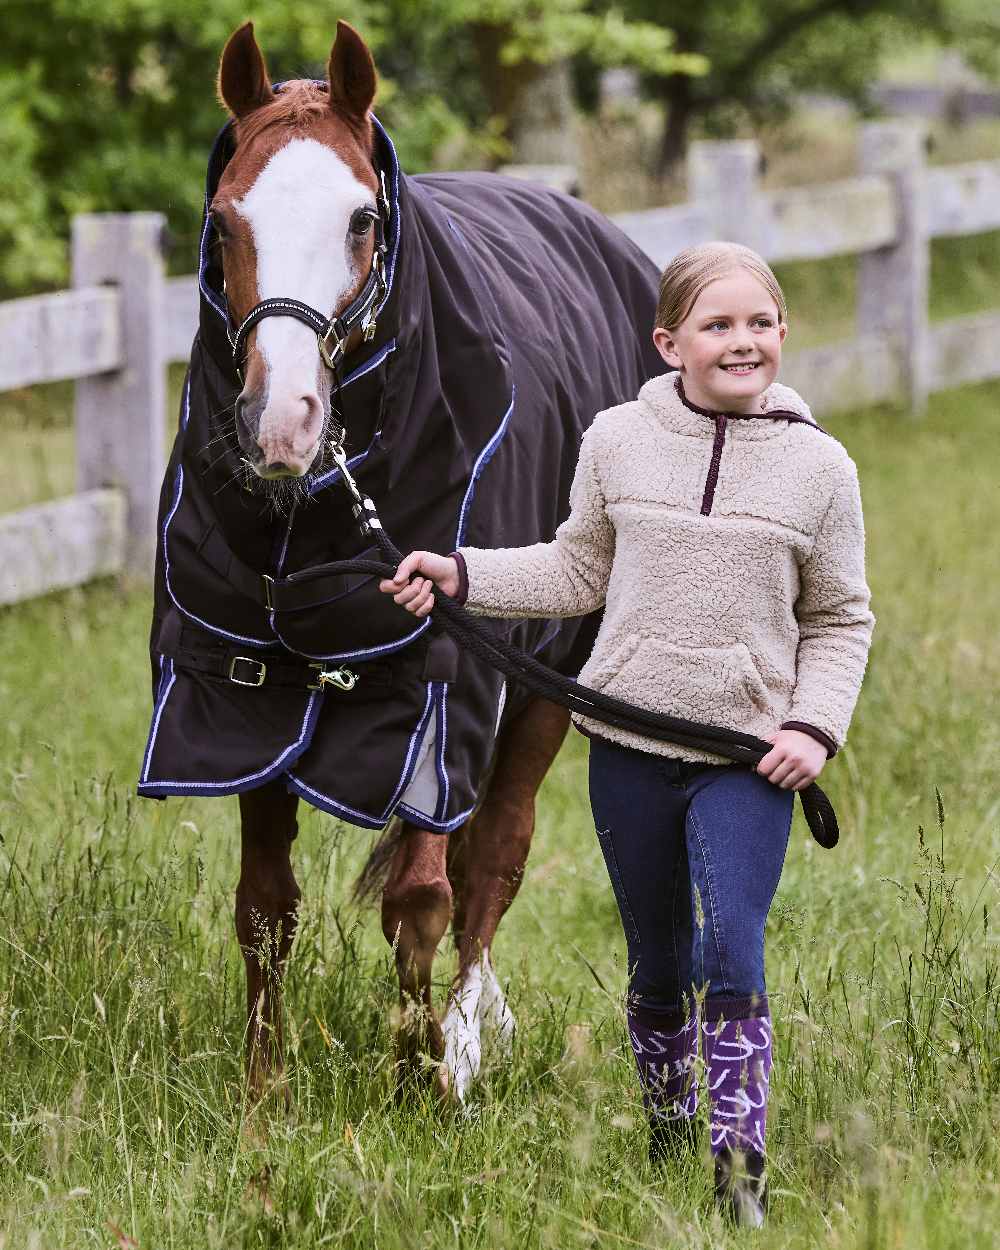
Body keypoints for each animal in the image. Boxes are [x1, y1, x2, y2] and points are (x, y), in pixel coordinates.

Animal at [140, 19, 670, 1110]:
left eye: (360, 219)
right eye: (222, 222)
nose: (281, 424)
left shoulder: (439, 696)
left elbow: (422, 897)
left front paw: (417, 1084)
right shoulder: (249, 701)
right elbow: (265, 907)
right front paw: (264, 1099)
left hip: (547, 679)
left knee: (493, 860)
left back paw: (464, 1037)